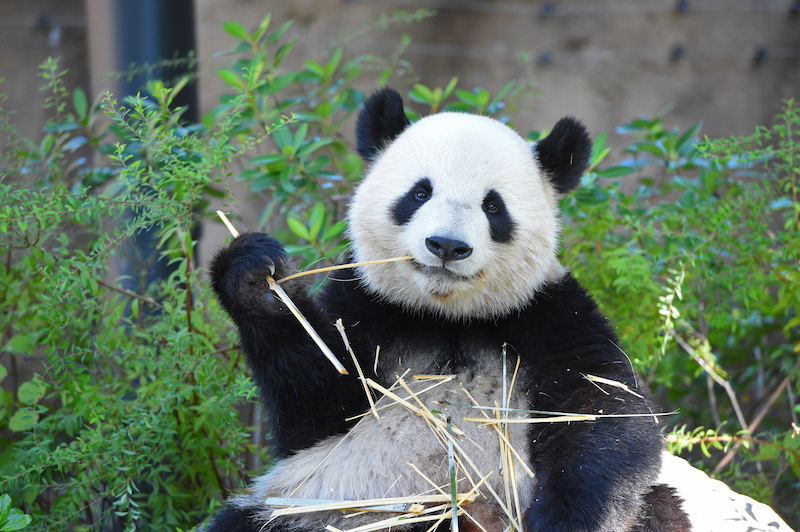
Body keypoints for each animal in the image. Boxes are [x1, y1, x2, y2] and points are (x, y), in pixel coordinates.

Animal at [206, 88, 688, 532]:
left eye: (493, 205)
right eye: (420, 193)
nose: (447, 246)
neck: (448, 316)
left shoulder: (550, 314)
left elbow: (604, 414)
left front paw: (564, 520)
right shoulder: (367, 307)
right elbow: (317, 412)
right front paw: (256, 277)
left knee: (661, 510)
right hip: (325, 510)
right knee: (248, 520)